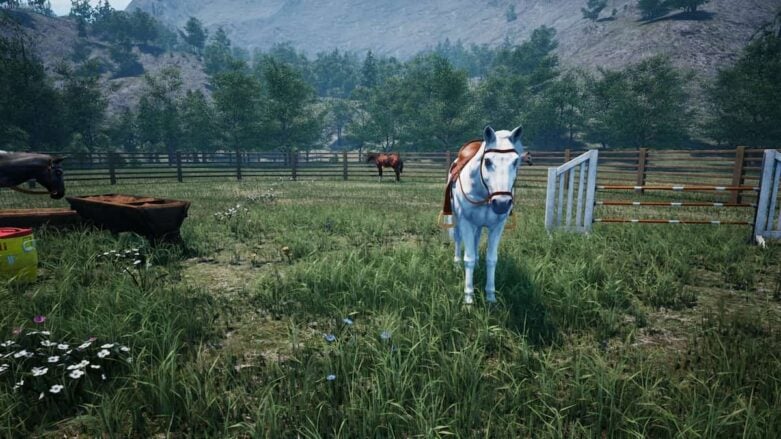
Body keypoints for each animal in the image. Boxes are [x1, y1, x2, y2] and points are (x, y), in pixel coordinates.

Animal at [444, 125, 532, 306]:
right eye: (488, 161)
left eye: (515, 161)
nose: (502, 203)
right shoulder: (466, 222)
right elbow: (468, 258)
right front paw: (469, 299)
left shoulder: (497, 226)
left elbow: (492, 259)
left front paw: (491, 297)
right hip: (457, 219)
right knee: (457, 239)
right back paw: (456, 265)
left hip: (478, 224)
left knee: (476, 240)